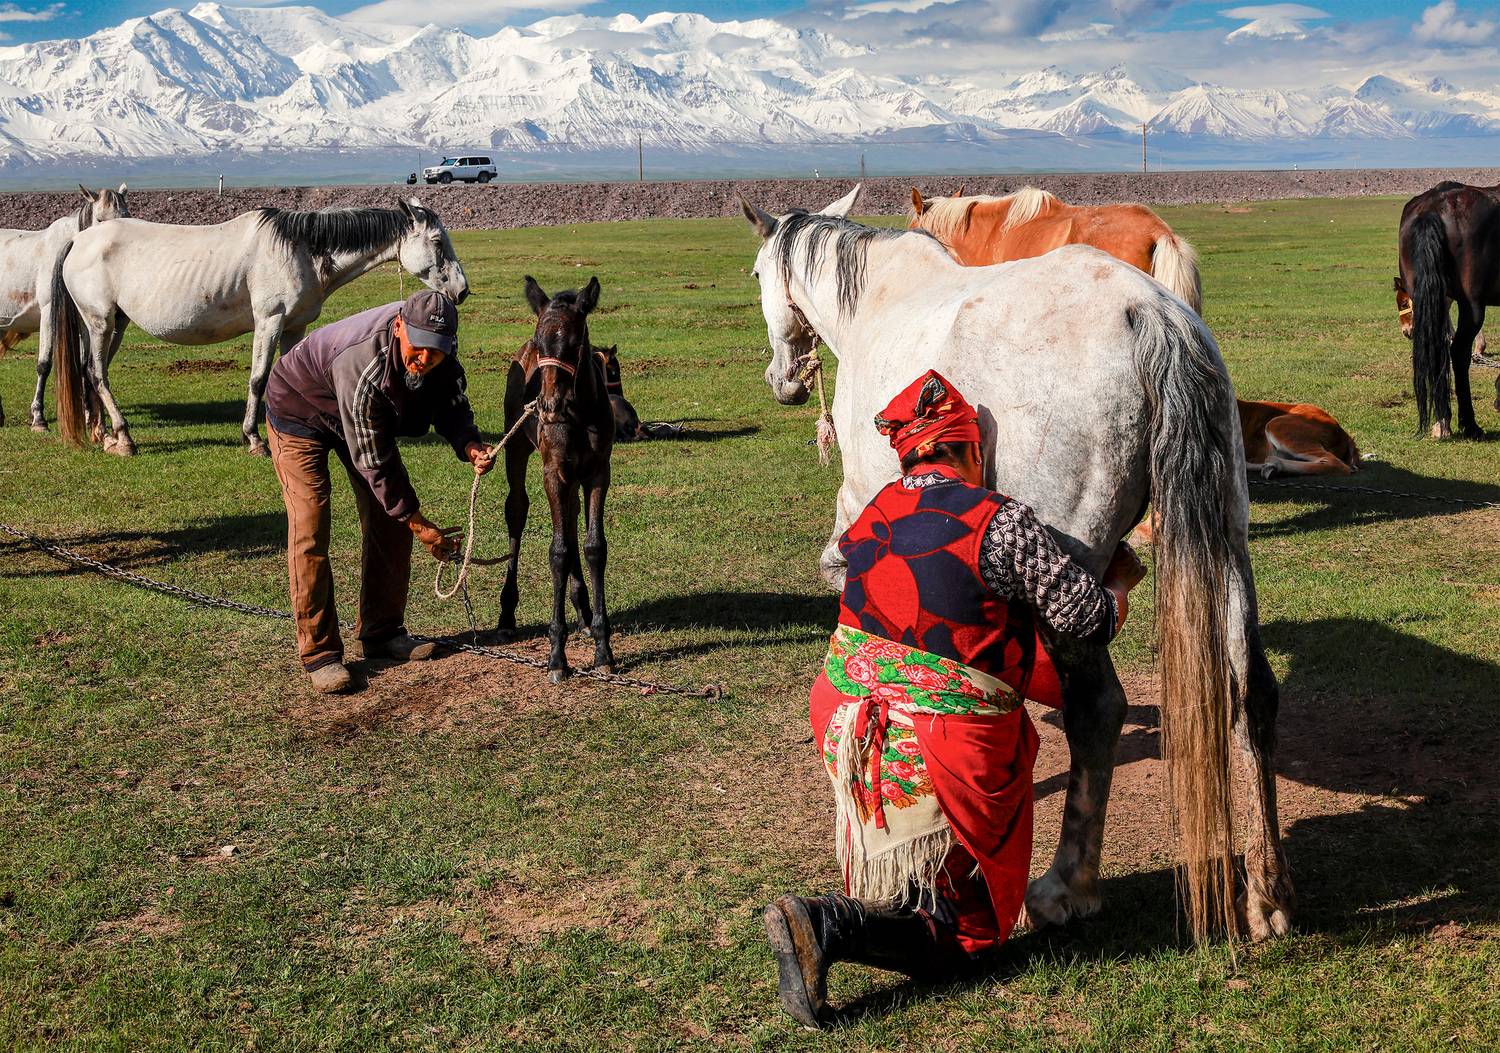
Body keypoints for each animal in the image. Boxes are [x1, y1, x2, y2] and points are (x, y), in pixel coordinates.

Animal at [0, 184, 129, 430]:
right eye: (100, 219)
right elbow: (44, 364)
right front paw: (38, 418)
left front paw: (89, 415)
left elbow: (85, 365)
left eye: (127, 216)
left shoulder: (84, 319)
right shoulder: (49, 312)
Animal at [49, 198, 468, 455]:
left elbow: (288, 374)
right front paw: (254, 439)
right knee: (97, 374)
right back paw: (124, 437)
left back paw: (102, 433)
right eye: (436, 241)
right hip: (100, 322)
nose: (461, 290)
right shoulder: (270, 320)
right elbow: (259, 378)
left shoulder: (295, 327)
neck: (301, 249)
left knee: (90, 372)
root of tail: (78, 240)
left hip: (107, 325)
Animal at [495, 276, 617, 683]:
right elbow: (558, 552)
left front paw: (603, 648)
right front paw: (556, 656)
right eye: (541, 341)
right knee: (517, 509)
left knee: (571, 511)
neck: (576, 413)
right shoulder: (553, 471)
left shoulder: (597, 471)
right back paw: (506, 615)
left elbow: (594, 547)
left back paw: (583, 610)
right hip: (517, 447)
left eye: (576, 343)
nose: (548, 406)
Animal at [1397, 181, 1500, 439]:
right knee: (1459, 353)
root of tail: (1431, 209)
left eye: (1403, 304)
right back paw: (1469, 424)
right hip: (1471, 305)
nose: (1406, 331)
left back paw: (1442, 422)